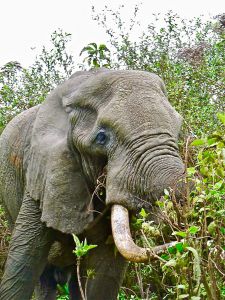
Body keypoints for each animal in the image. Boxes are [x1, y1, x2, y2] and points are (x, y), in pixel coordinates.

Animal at [0, 69, 185, 298]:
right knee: (45, 279)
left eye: (178, 131)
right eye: (101, 138)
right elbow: (22, 265)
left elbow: (106, 269)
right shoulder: (43, 172)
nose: (176, 241)